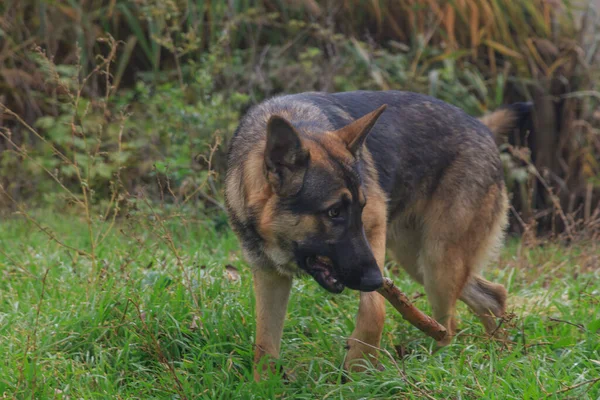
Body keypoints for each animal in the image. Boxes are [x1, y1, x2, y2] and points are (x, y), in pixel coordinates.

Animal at [225, 90, 528, 382]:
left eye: (361, 207)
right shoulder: (270, 277)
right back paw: (499, 352)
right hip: (419, 261)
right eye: (334, 212)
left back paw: (436, 366)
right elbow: (265, 342)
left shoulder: (374, 227)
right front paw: (264, 384)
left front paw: (360, 366)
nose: (374, 280)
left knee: (450, 325)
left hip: (437, 262)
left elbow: (375, 310)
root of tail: (481, 126)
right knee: (492, 296)